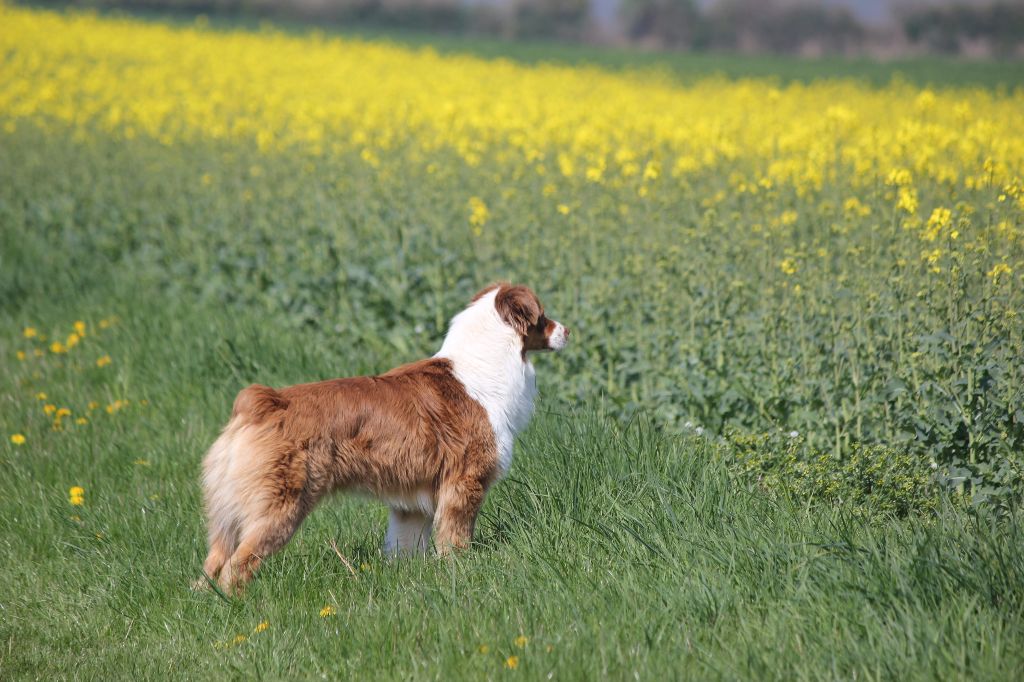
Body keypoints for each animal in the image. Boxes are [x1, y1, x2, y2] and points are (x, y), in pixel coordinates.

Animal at [197, 280, 569, 589]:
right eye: (543, 316)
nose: (568, 330)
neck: (485, 363)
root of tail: (264, 402)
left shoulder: (411, 504)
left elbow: (404, 547)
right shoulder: (464, 483)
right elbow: (455, 540)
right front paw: (461, 572)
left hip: (227, 516)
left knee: (212, 564)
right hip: (279, 507)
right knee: (235, 566)